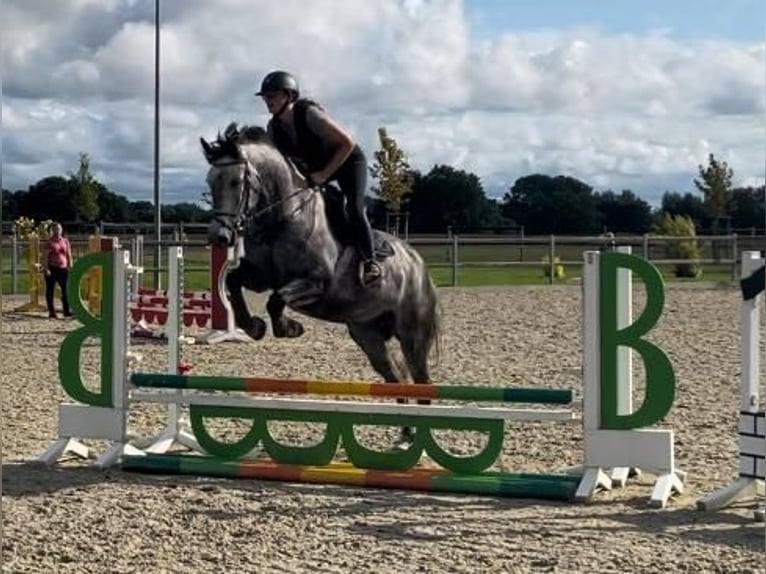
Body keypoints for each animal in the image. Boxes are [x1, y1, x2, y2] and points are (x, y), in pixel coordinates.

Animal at [201, 125, 440, 440]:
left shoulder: (316, 283)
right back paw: (406, 432)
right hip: (367, 334)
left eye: (235, 181)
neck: (284, 217)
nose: (219, 236)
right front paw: (254, 326)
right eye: (210, 181)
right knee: (396, 377)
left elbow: (277, 298)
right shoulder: (261, 276)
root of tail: (418, 264)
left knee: (422, 380)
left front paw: (288, 327)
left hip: (412, 334)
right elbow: (234, 280)